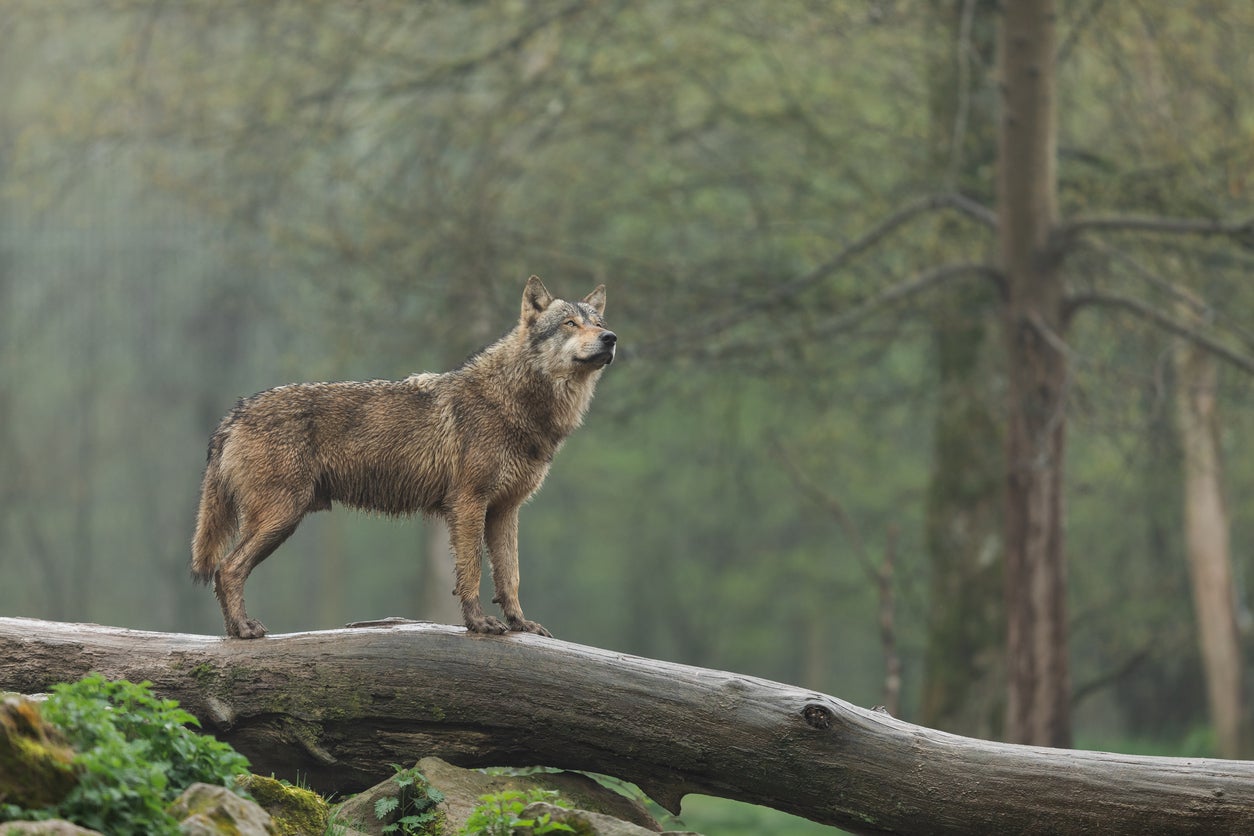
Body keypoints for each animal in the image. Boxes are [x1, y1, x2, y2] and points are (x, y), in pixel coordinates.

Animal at [188, 278, 614, 636]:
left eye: (597, 322)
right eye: (570, 324)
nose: (611, 338)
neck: (514, 402)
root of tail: (235, 412)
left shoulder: (506, 510)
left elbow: (510, 576)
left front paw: (520, 624)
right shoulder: (468, 504)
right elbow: (472, 571)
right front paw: (478, 623)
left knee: (225, 571)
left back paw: (235, 631)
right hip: (281, 517)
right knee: (227, 570)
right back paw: (243, 630)